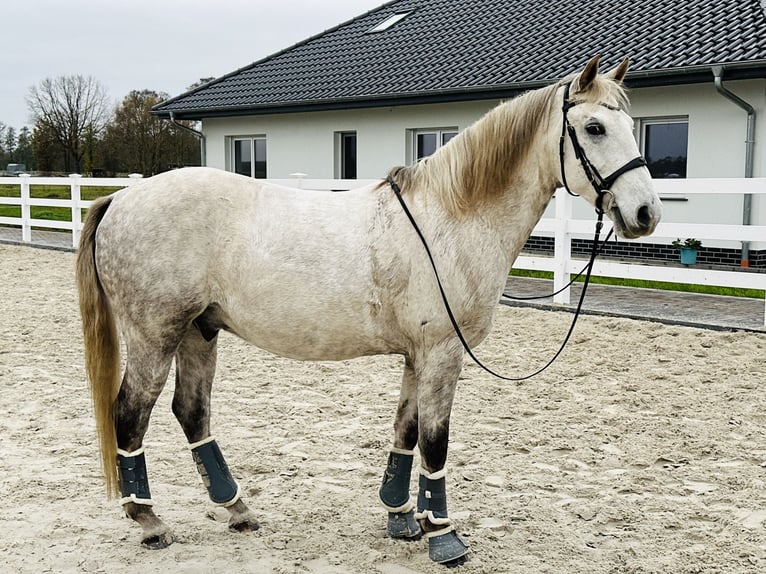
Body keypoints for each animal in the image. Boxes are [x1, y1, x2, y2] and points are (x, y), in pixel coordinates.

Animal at [78, 56, 664, 568]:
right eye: (593, 127)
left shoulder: (418, 355)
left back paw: (237, 509)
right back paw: (150, 521)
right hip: (155, 335)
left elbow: (406, 429)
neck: (450, 218)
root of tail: (120, 199)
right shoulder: (443, 354)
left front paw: (402, 518)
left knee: (191, 411)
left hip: (200, 331)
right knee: (130, 414)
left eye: (630, 125)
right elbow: (435, 440)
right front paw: (443, 535)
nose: (645, 213)